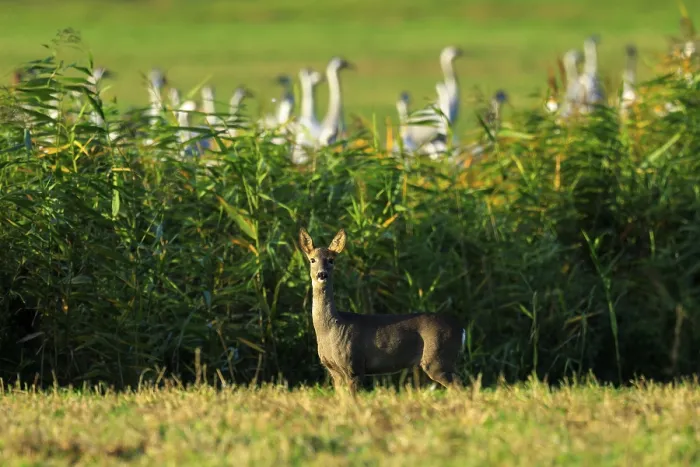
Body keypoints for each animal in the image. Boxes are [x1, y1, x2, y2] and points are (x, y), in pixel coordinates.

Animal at [299, 227, 466, 395]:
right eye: (312, 260)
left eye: (331, 260)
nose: (322, 274)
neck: (331, 328)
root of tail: (461, 329)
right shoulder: (334, 371)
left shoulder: (354, 366)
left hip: (438, 358)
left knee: (459, 385)